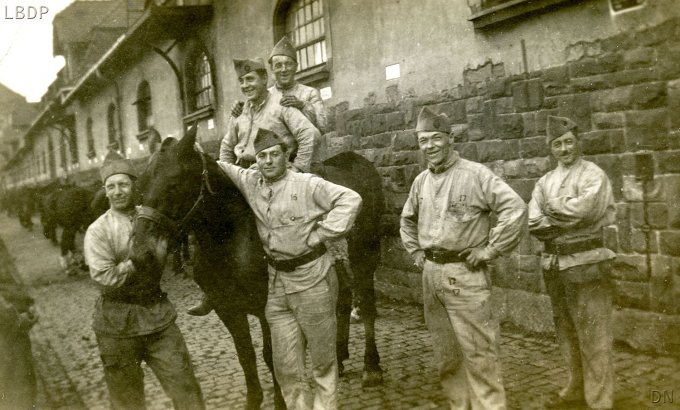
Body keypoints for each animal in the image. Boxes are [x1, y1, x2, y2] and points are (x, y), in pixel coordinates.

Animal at [127, 125, 382, 410]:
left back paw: (371, 368)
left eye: (173, 184)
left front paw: (280, 401)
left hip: (364, 257)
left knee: (367, 305)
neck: (228, 237)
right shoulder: (227, 309)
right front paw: (254, 399)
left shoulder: (266, 307)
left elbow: (272, 355)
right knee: (342, 298)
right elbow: (246, 355)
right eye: (139, 188)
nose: (140, 253)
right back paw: (339, 356)